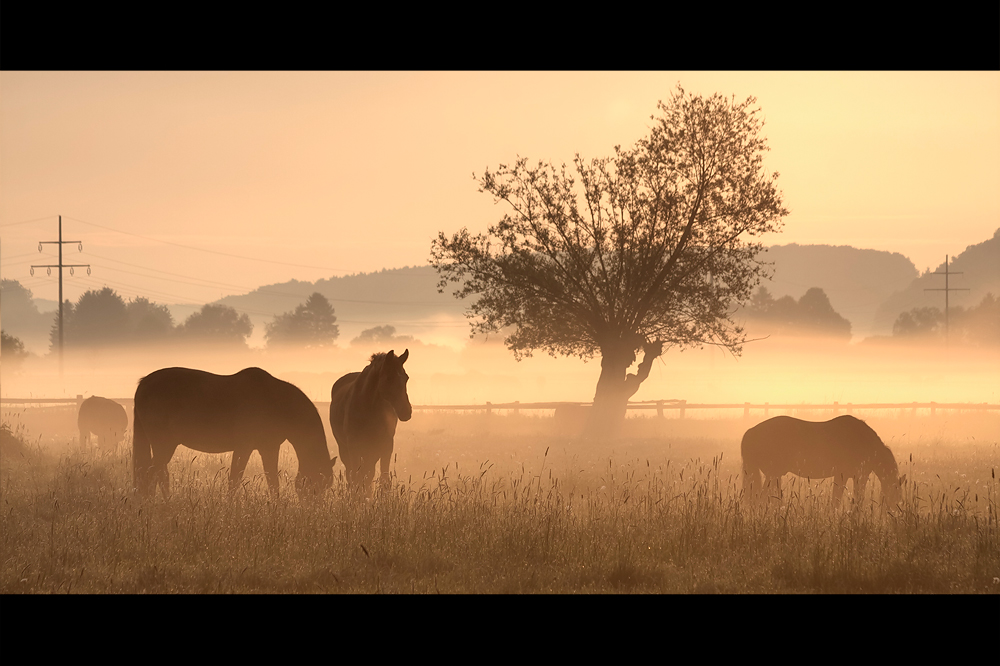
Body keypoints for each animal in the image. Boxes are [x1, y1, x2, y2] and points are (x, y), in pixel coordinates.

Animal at [133, 366, 338, 496]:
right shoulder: (243, 448)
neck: (275, 402)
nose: (312, 509)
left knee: (155, 475)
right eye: (316, 483)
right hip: (164, 445)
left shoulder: (269, 448)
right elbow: (234, 481)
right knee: (152, 475)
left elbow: (273, 483)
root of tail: (144, 384)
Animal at [330, 348, 412, 492]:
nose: (406, 412)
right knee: (351, 473)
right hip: (344, 448)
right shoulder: (354, 447)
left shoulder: (386, 445)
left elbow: (383, 479)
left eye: (406, 377)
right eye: (389, 378)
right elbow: (356, 477)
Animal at [740, 412, 904, 506]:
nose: (893, 511)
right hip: (773, 474)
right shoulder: (857, 476)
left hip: (773, 475)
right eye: (895, 493)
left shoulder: (846, 476)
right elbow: (850, 500)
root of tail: (750, 431)